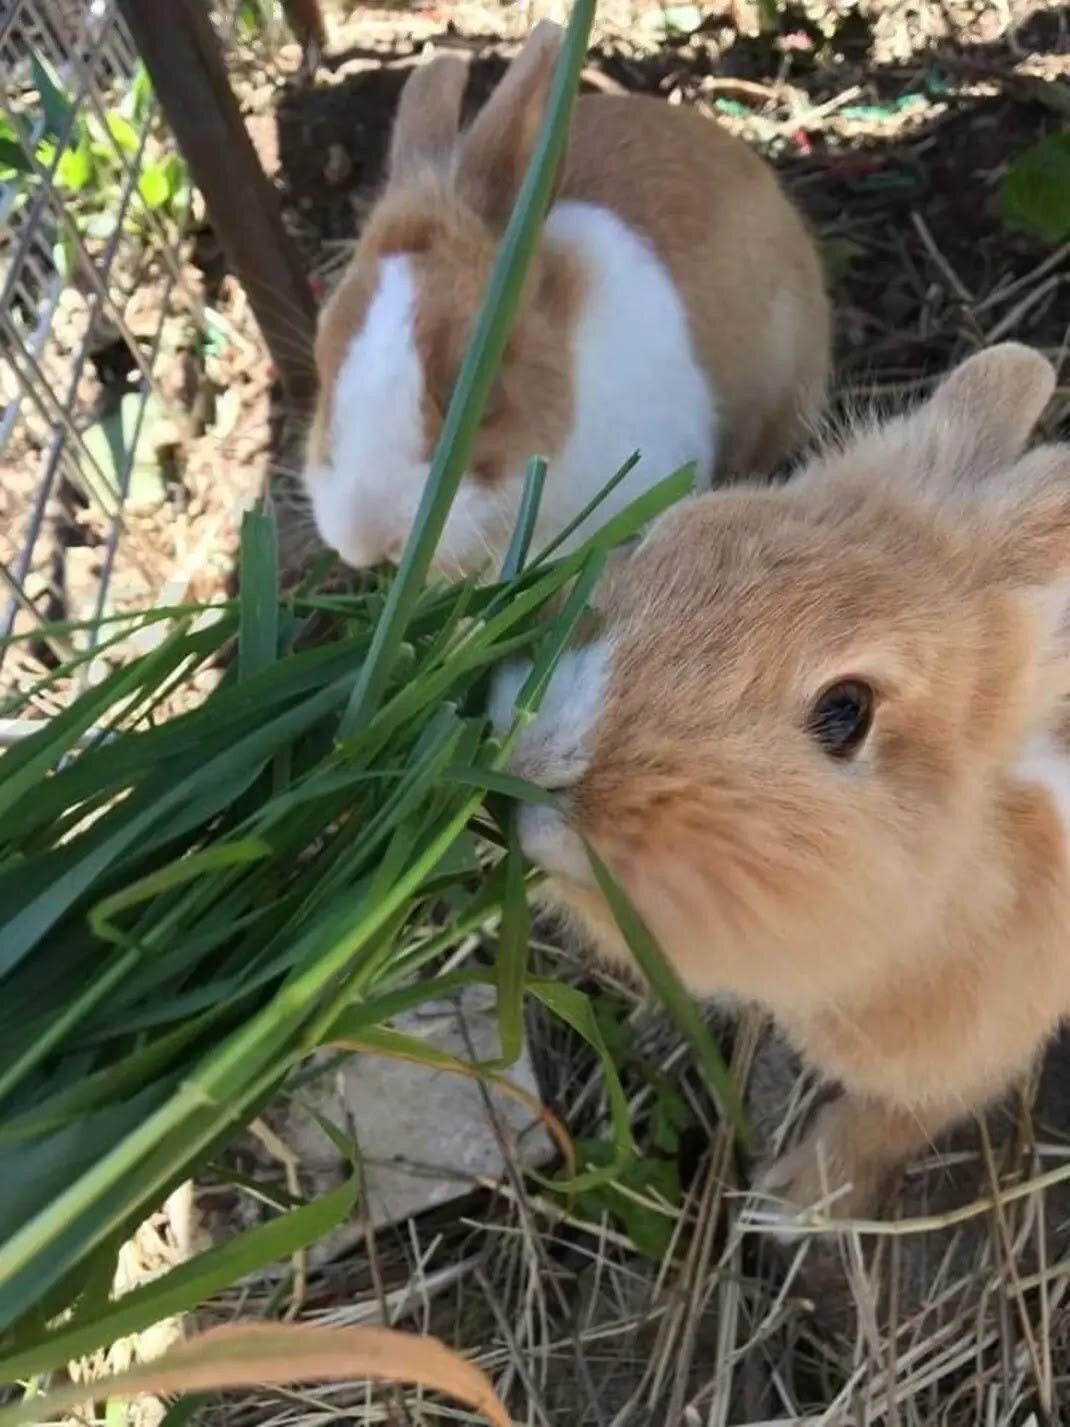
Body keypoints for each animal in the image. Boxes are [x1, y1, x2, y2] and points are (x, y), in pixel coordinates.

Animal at [490, 342, 1070, 1221]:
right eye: (669, 536)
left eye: (845, 711)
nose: (535, 768)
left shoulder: (954, 1059)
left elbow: (887, 1122)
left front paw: (793, 1204)